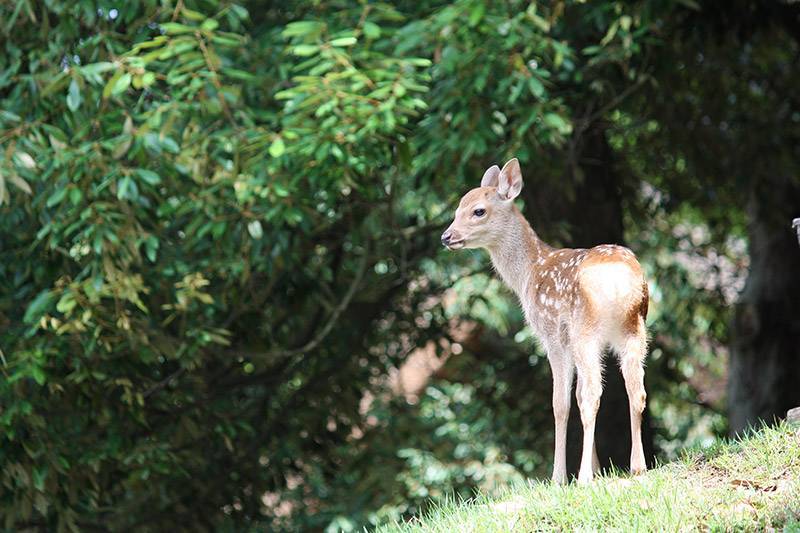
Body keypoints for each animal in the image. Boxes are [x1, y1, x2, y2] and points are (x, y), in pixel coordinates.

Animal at [440, 157, 648, 482]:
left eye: (478, 211)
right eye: (457, 208)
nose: (447, 236)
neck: (529, 271)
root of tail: (622, 284)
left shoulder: (552, 334)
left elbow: (561, 403)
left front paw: (560, 477)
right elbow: (575, 397)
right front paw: (597, 468)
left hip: (585, 330)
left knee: (593, 394)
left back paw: (584, 478)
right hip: (634, 328)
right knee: (635, 391)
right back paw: (637, 467)